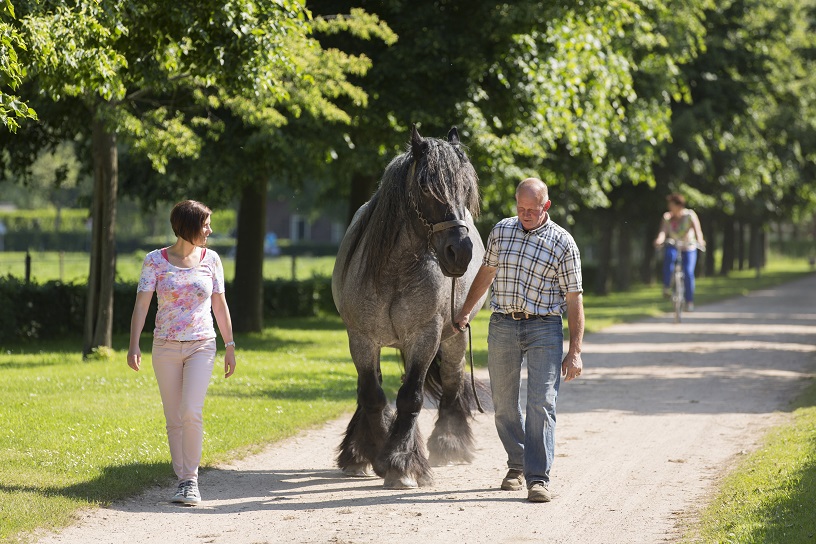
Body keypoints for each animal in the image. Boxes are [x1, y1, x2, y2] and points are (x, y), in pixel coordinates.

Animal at [332, 125, 487, 489]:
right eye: (426, 186)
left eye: (467, 187)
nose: (460, 252)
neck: (394, 270)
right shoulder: (361, 338)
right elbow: (372, 394)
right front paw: (375, 451)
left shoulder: (424, 336)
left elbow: (410, 397)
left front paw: (401, 463)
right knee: (370, 387)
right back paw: (357, 453)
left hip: (454, 339)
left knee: (452, 383)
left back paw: (449, 443)